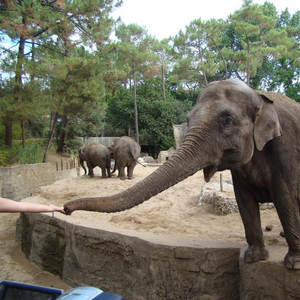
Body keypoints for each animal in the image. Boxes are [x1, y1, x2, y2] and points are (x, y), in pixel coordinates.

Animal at [65, 79, 300, 270]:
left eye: (227, 120)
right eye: (188, 119)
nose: (66, 208)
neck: (259, 96)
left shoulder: (287, 148)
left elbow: (284, 197)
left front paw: (294, 264)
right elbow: (244, 201)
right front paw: (253, 258)